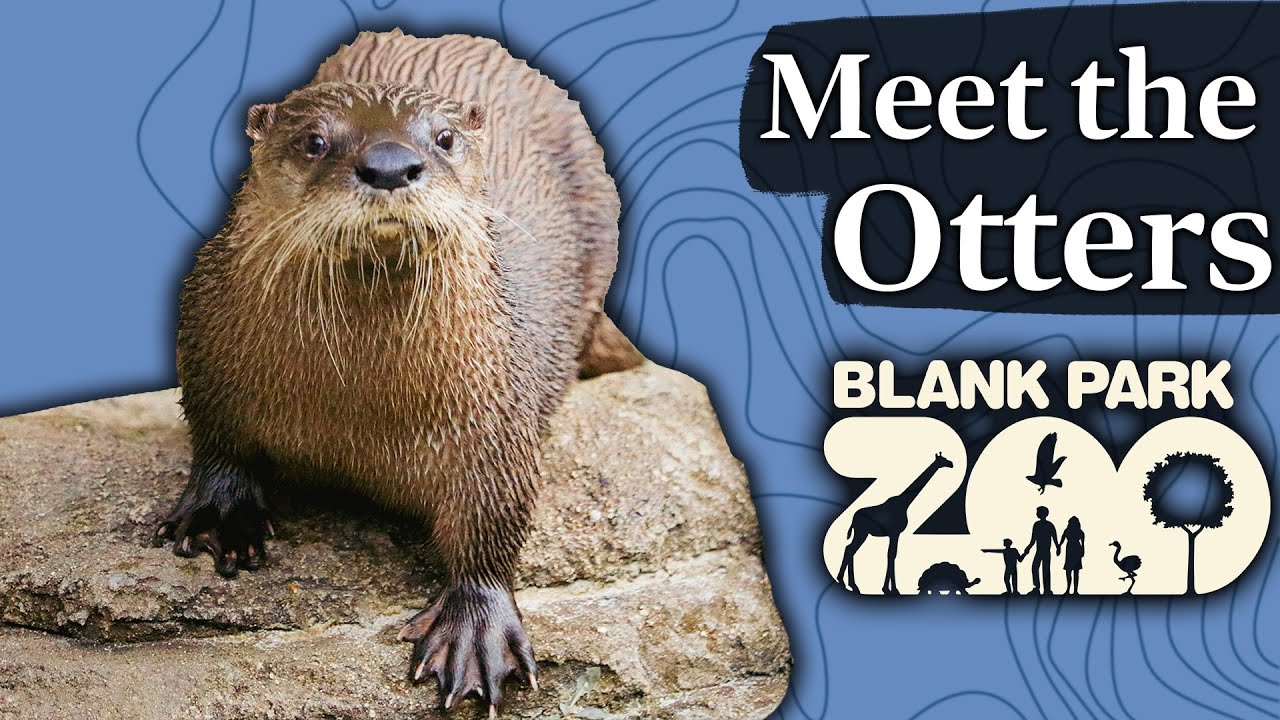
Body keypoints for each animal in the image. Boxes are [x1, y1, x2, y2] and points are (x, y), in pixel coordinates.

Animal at [153, 31, 642, 715]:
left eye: (444, 138)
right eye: (314, 141)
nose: (389, 164)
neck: (358, 411)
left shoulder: (499, 421)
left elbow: (494, 524)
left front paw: (476, 628)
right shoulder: (205, 348)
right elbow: (218, 440)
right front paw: (220, 515)